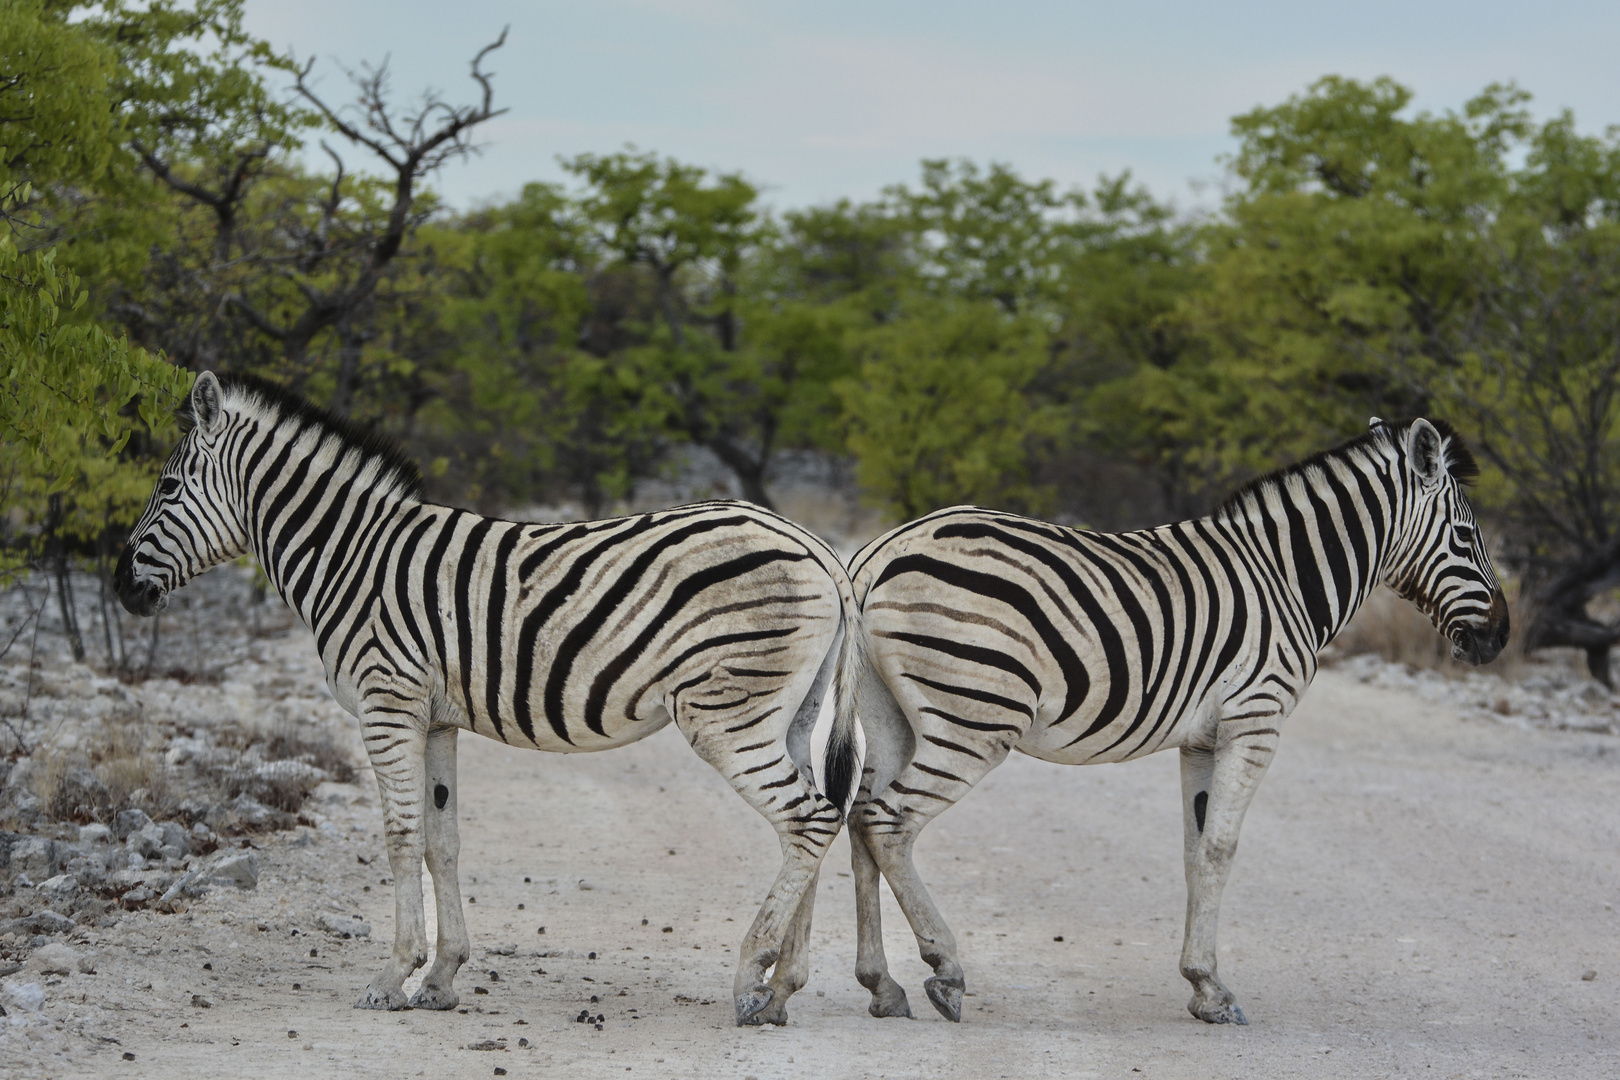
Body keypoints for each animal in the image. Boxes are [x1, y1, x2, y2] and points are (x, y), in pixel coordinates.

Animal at [115, 374, 868, 1029]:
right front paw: (442, 978)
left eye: (168, 485)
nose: (120, 587)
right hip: (789, 716)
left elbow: (400, 837)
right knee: (817, 818)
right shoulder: (436, 720)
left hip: (725, 712)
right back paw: (779, 990)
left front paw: (392, 977)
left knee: (804, 818)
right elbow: (442, 841)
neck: (351, 559)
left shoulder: (388, 704)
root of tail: (815, 547)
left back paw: (748, 980)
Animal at [842, 417, 1509, 1029]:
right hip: (974, 717)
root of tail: (880, 553)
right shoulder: (1255, 720)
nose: (1500, 637)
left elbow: (1194, 849)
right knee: (889, 822)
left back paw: (882, 986)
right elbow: (1221, 847)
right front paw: (1213, 991)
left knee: (859, 821)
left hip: (891, 717)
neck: (1286, 578)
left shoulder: (1201, 740)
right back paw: (945, 971)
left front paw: (1197, 979)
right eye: (1465, 535)